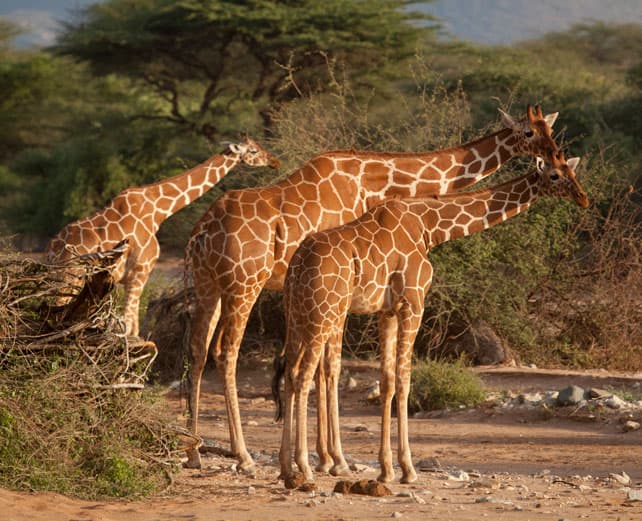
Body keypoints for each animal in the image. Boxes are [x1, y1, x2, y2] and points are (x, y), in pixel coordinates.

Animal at [45, 136, 280, 336]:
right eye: (253, 150)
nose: (275, 161)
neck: (159, 211)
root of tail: (51, 251)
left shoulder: (131, 278)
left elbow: (131, 327)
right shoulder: (140, 272)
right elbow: (130, 328)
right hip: (69, 281)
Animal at [185, 105, 563, 470]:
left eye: (551, 130)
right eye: (529, 132)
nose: (555, 155)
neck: (374, 181)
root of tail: (202, 231)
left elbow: (325, 368)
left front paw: (325, 457)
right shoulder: (339, 294)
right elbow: (329, 367)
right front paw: (333, 459)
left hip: (208, 284)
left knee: (198, 350)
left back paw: (194, 451)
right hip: (245, 283)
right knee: (227, 352)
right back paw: (242, 455)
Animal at [277, 150, 588, 484]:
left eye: (573, 171)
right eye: (555, 175)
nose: (583, 197)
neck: (429, 227)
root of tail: (297, 265)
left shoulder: (386, 311)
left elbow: (387, 381)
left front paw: (386, 470)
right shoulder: (414, 302)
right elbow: (404, 380)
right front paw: (408, 469)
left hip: (297, 316)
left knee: (291, 374)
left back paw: (286, 467)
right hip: (324, 314)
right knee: (305, 376)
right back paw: (305, 467)